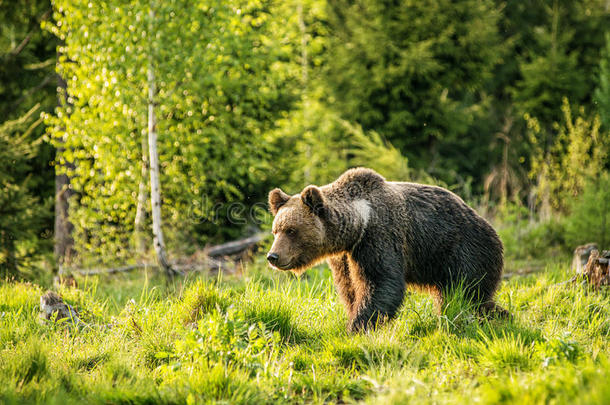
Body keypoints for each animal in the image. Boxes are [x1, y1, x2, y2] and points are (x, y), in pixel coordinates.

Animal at [266, 166, 508, 330]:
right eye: (275, 230)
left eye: (291, 230)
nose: (273, 256)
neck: (357, 225)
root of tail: (492, 229)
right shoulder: (344, 256)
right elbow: (349, 287)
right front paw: (354, 315)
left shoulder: (379, 237)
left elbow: (381, 282)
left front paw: (358, 326)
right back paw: (501, 315)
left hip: (463, 251)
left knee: (465, 295)